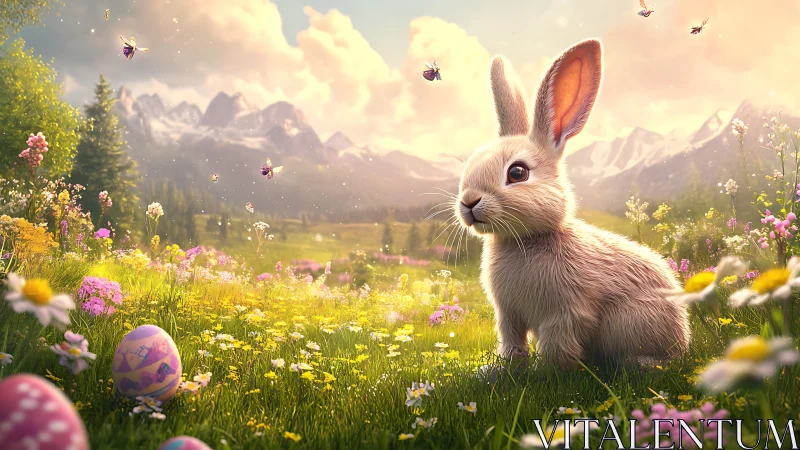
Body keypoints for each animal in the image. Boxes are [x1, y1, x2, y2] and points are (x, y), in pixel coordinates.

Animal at [455, 39, 690, 370]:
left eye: (517, 173)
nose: (468, 202)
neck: (525, 239)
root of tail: (683, 336)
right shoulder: (508, 315)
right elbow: (512, 342)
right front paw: (504, 369)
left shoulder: (567, 312)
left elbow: (557, 346)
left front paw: (548, 373)